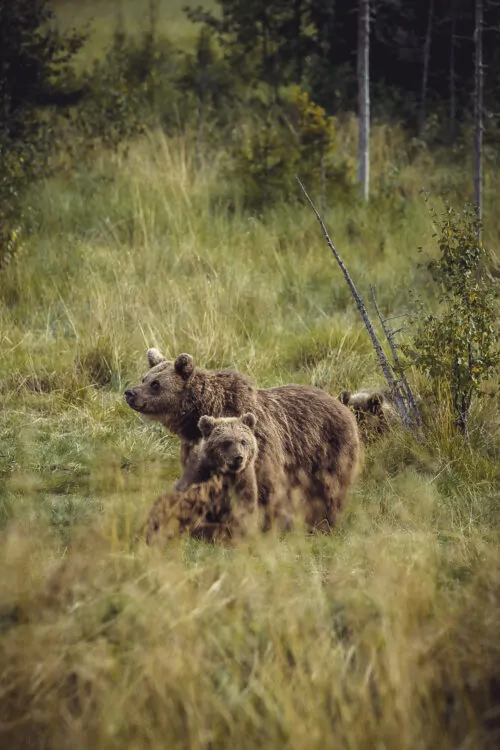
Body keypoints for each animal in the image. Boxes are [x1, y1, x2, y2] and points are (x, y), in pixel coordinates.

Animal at [124, 350, 360, 532]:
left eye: (156, 384)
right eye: (145, 378)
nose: (130, 392)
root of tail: (341, 404)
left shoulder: (259, 446)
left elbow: (265, 487)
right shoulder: (194, 451)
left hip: (329, 449)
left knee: (329, 489)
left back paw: (322, 524)